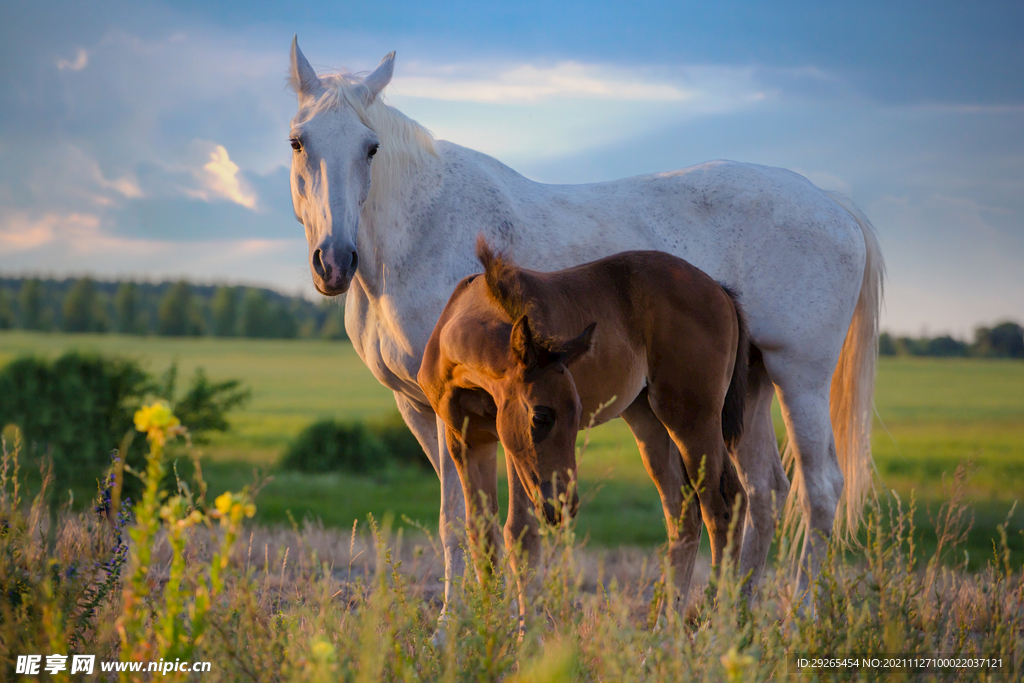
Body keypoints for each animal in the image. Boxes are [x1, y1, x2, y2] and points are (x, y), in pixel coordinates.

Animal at [417, 237, 753, 606]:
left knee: (723, 503)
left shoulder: (511, 447)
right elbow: (482, 535)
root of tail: (720, 290)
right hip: (647, 418)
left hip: (692, 416)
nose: (563, 507)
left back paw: (715, 614)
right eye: (541, 415)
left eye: (579, 413)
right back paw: (669, 619)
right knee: (683, 512)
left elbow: (520, 533)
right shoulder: (466, 442)